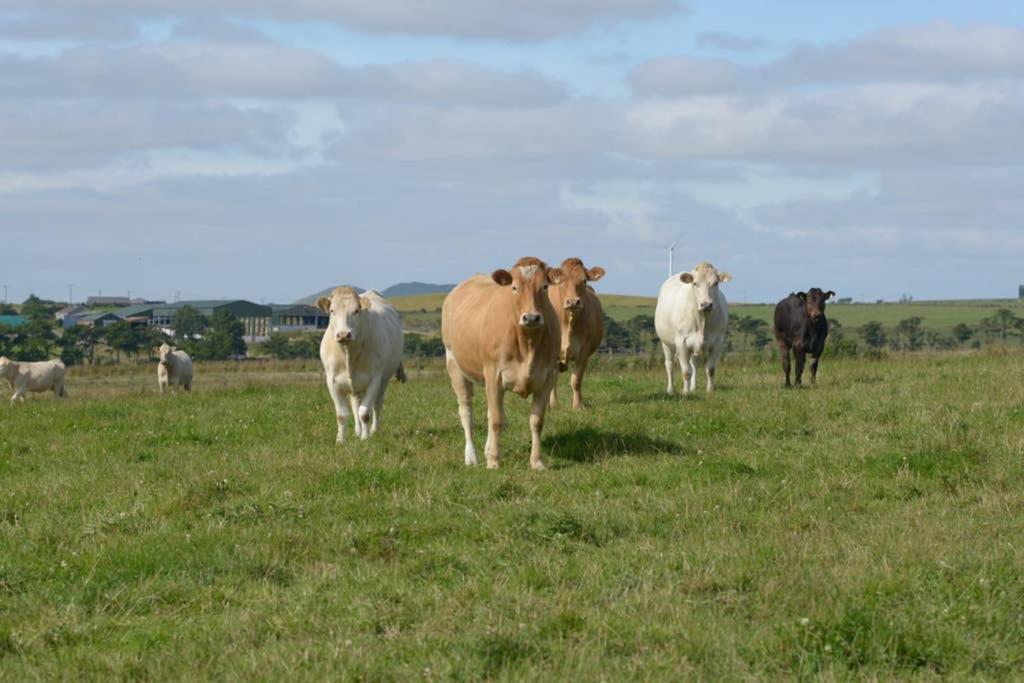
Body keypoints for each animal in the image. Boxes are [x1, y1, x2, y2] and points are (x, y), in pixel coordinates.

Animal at [315, 286, 403, 444]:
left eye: (356, 310)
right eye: (332, 310)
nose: (343, 334)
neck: (348, 355)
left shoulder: (374, 380)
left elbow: (365, 412)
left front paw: (365, 437)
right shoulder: (332, 381)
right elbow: (342, 414)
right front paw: (340, 440)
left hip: (384, 380)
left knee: (377, 404)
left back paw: (374, 430)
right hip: (354, 386)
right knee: (355, 405)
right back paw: (357, 431)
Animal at [442, 255, 569, 471]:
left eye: (544, 286)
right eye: (514, 287)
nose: (531, 317)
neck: (528, 344)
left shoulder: (548, 377)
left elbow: (536, 421)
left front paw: (537, 461)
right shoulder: (494, 375)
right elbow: (496, 420)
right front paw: (493, 460)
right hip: (455, 367)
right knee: (466, 412)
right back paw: (472, 457)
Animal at [548, 255, 602, 409]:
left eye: (584, 280)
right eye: (562, 281)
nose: (573, 302)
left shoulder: (584, 351)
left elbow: (576, 381)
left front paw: (577, 406)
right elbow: (552, 381)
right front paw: (553, 404)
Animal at [651, 262, 733, 395]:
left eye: (716, 283)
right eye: (695, 283)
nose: (706, 304)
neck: (702, 319)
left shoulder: (718, 342)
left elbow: (710, 368)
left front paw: (710, 389)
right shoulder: (681, 343)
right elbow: (686, 371)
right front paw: (685, 392)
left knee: (694, 363)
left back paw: (693, 387)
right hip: (666, 343)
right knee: (669, 365)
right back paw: (671, 390)